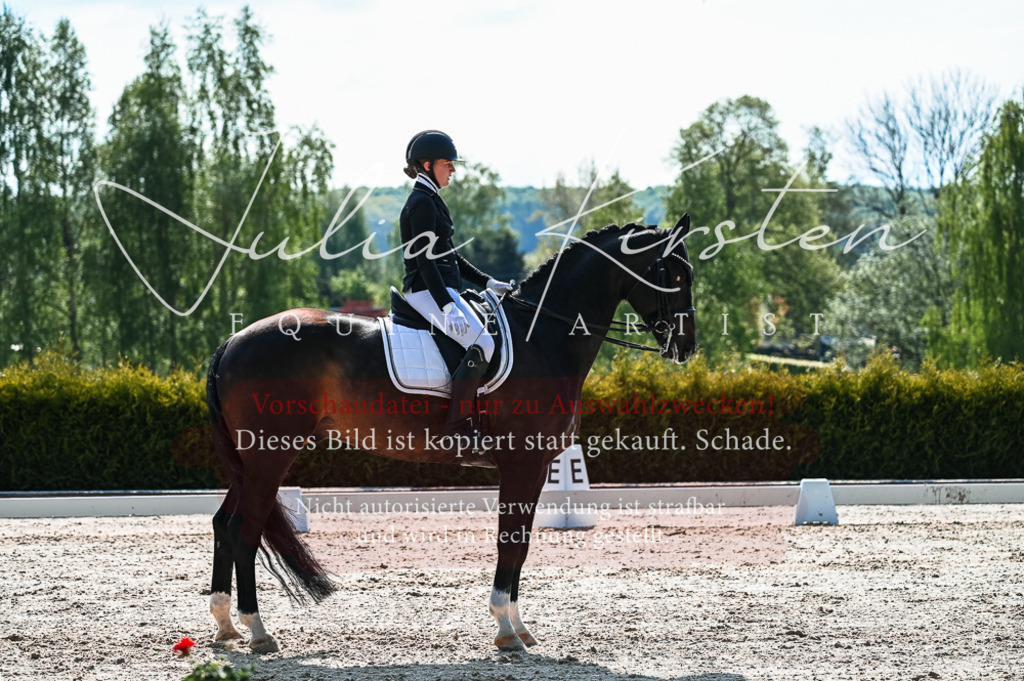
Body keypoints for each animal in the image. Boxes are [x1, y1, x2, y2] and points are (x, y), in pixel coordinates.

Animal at [204, 217, 698, 653]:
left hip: (251, 462)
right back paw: (259, 631)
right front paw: (505, 630)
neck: (543, 337)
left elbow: (521, 543)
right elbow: (509, 540)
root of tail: (231, 342)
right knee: (245, 529)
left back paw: (226, 627)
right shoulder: (521, 463)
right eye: (674, 275)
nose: (687, 347)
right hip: (270, 456)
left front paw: (520, 627)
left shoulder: (536, 466)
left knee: (224, 524)